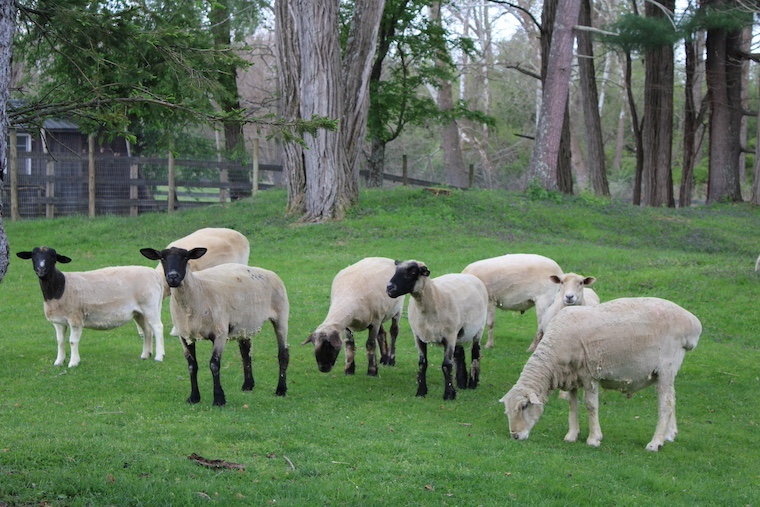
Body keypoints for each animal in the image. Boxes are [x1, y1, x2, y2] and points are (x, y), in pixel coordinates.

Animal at [16, 246, 165, 367]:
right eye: (33, 256)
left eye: (53, 257)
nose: (41, 269)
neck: (60, 288)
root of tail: (155, 275)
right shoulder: (59, 322)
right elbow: (60, 341)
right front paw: (59, 361)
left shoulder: (75, 318)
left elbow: (72, 341)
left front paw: (73, 362)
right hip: (139, 312)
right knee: (147, 331)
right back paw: (145, 355)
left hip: (150, 306)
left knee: (157, 327)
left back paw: (159, 356)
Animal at [140, 246, 289, 406]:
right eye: (162, 258)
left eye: (186, 258)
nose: (173, 276)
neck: (198, 291)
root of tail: (270, 273)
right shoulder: (184, 335)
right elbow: (192, 366)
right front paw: (194, 397)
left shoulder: (219, 333)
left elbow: (214, 365)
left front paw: (219, 399)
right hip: (244, 324)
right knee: (246, 353)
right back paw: (248, 385)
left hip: (281, 316)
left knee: (283, 353)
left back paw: (281, 390)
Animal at [386, 260, 488, 400]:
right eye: (396, 270)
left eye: (412, 272)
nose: (389, 288)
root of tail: (469, 276)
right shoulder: (418, 336)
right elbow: (422, 364)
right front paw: (421, 391)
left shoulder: (449, 336)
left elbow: (446, 365)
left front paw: (449, 394)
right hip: (459, 332)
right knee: (460, 353)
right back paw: (461, 383)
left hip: (478, 328)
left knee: (475, 353)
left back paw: (472, 384)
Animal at [499, 297, 702, 452]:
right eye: (507, 410)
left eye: (524, 406)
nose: (515, 436)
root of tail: (692, 322)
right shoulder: (571, 376)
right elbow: (572, 404)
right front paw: (572, 435)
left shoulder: (589, 375)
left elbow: (590, 405)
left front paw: (594, 438)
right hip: (664, 372)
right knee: (672, 399)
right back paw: (669, 435)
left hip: (666, 367)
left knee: (665, 405)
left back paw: (655, 443)